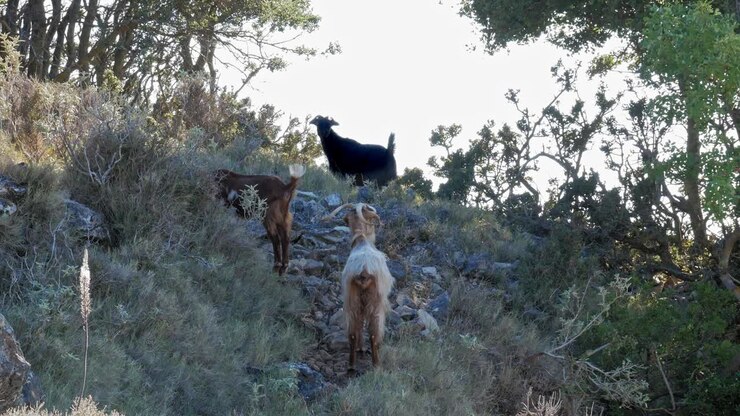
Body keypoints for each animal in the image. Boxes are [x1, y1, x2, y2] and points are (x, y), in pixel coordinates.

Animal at [324, 203, 394, 371]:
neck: (362, 241)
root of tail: (363, 270)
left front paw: (360, 348)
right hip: (376, 303)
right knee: (373, 333)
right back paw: (376, 365)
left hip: (352, 300)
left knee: (353, 332)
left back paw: (351, 365)